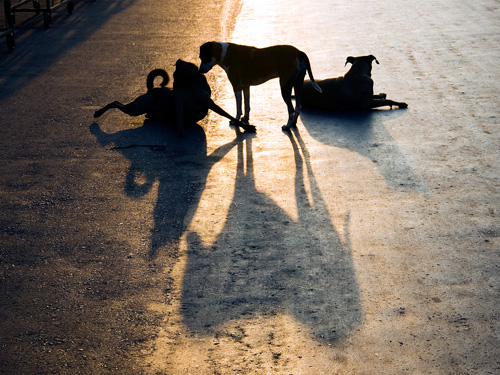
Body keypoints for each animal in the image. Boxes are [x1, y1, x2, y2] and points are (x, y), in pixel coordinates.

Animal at [94, 61, 254, 137]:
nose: (175, 87)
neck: (189, 84)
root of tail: (151, 89)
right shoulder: (188, 101)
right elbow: (229, 115)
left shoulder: (204, 102)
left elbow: (229, 115)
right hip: (136, 108)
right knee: (116, 102)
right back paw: (98, 112)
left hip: (141, 108)